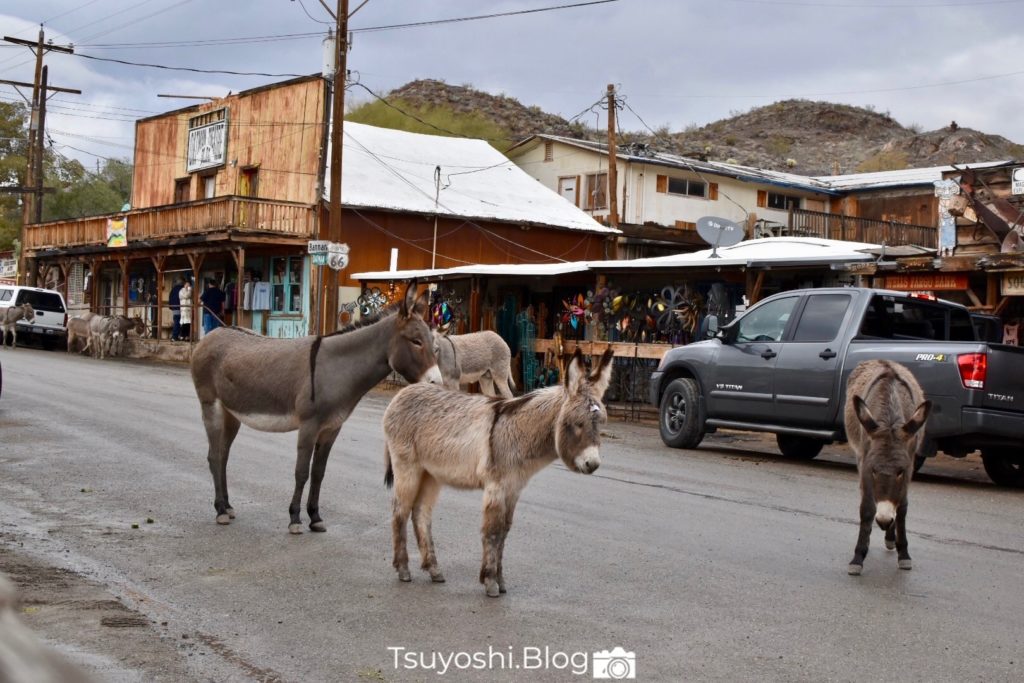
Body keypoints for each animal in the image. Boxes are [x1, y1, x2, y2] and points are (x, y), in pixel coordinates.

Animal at [382, 350, 606, 593]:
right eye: (577, 423)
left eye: (601, 424)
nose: (593, 464)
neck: (519, 434)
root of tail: (403, 392)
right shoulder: (496, 486)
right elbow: (493, 531)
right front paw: (490, 582)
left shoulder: (514, 489)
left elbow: (504, 531)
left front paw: (501, 581)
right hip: (407, 467)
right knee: (400, 512)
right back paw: (403, 569)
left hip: (431, 473)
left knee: (420, 513)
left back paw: (434, 569)